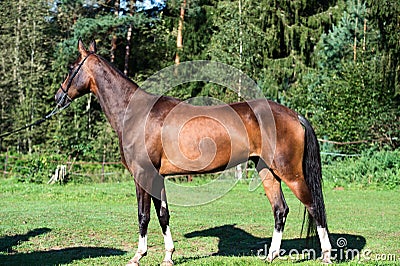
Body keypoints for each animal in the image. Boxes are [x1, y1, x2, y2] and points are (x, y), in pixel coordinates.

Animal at [55, 40, 332, 266]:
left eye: (71, 67)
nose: (58, 96)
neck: (135, 113)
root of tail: (294, 115)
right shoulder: (157, 177)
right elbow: (163, 215)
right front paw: (168, 256)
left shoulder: (142, 175)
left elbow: (144, 215)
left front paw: (137, 256)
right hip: (267, 170)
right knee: (280, 209)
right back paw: (271, 256)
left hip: (291, 173)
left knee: (314, 207)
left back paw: (327, 255)